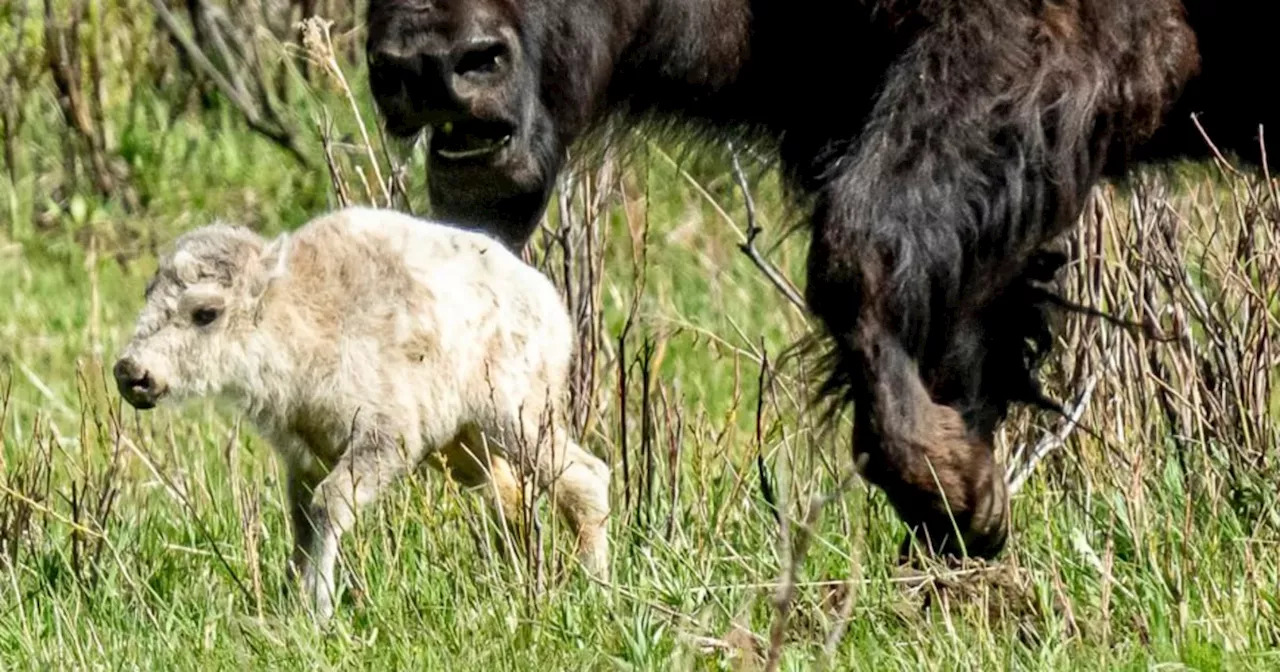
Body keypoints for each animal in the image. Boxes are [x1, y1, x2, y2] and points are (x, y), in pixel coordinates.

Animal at [113, 204, 609, 619]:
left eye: (206, 313)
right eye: (149, 293)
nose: (132, 373)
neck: (300, 314)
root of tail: (548, 302)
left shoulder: (384, 440)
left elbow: (328, 506)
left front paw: (319, 608)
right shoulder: (304, 457)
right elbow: (301, 522)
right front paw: (293, 600)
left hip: (516, 418)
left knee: (585, 476)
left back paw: (592, 583)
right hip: (466, 447)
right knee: (512, 498)